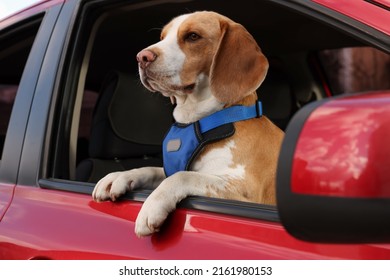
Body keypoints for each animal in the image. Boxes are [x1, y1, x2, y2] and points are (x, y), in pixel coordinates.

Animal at [93, 10, 284, 236]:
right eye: (162, 37)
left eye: (193, 36)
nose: (142, 57)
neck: (199, 120)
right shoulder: (168, 168)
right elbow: (152, 169)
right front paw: (120, 176)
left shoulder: (246, 191)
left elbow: (184, 176)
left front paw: (152, 206)